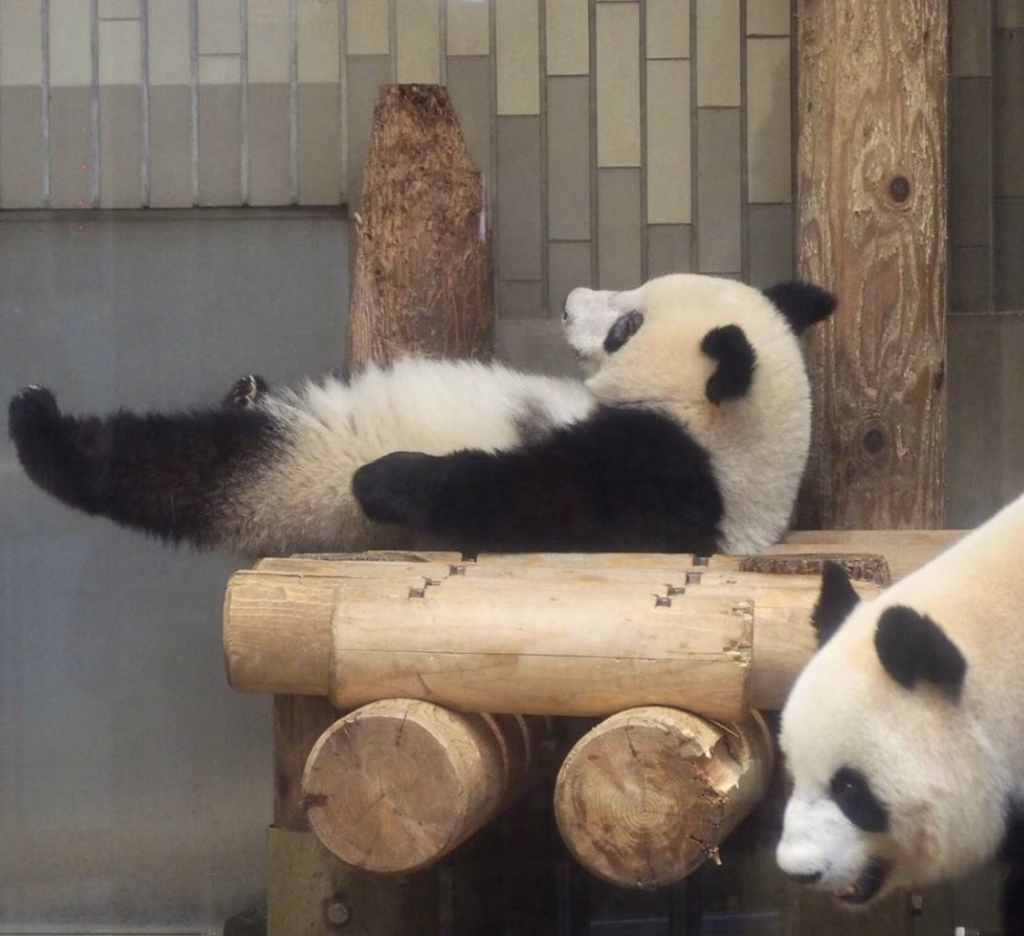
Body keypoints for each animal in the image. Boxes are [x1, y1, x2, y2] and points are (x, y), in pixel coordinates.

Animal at [8, 273, 835, 558]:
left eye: (627, 326)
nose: (571, 303)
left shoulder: (663, 482)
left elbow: (523, 500)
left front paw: (384, 478)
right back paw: (244, 388)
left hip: (273, 475)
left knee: (173, 466)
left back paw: (40, 428)